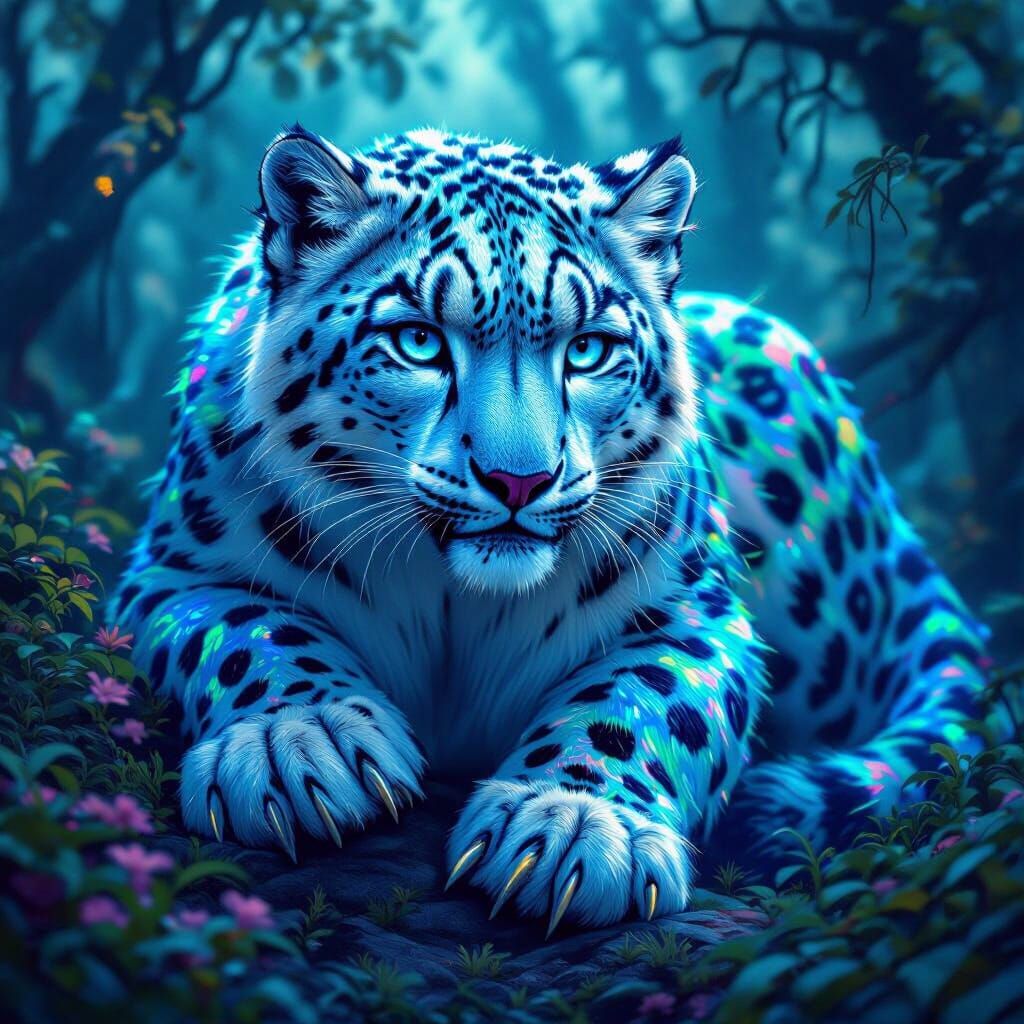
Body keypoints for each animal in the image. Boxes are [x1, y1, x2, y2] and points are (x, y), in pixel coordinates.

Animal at [117, 126, 988, 936]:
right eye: (419, 340)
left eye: (590, 349)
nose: (519, 480)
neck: (454, 611)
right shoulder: (175, 573)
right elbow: (249, 632)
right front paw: (299, 742)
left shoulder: (694, 615)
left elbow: (642, 700)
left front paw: (573, 827)